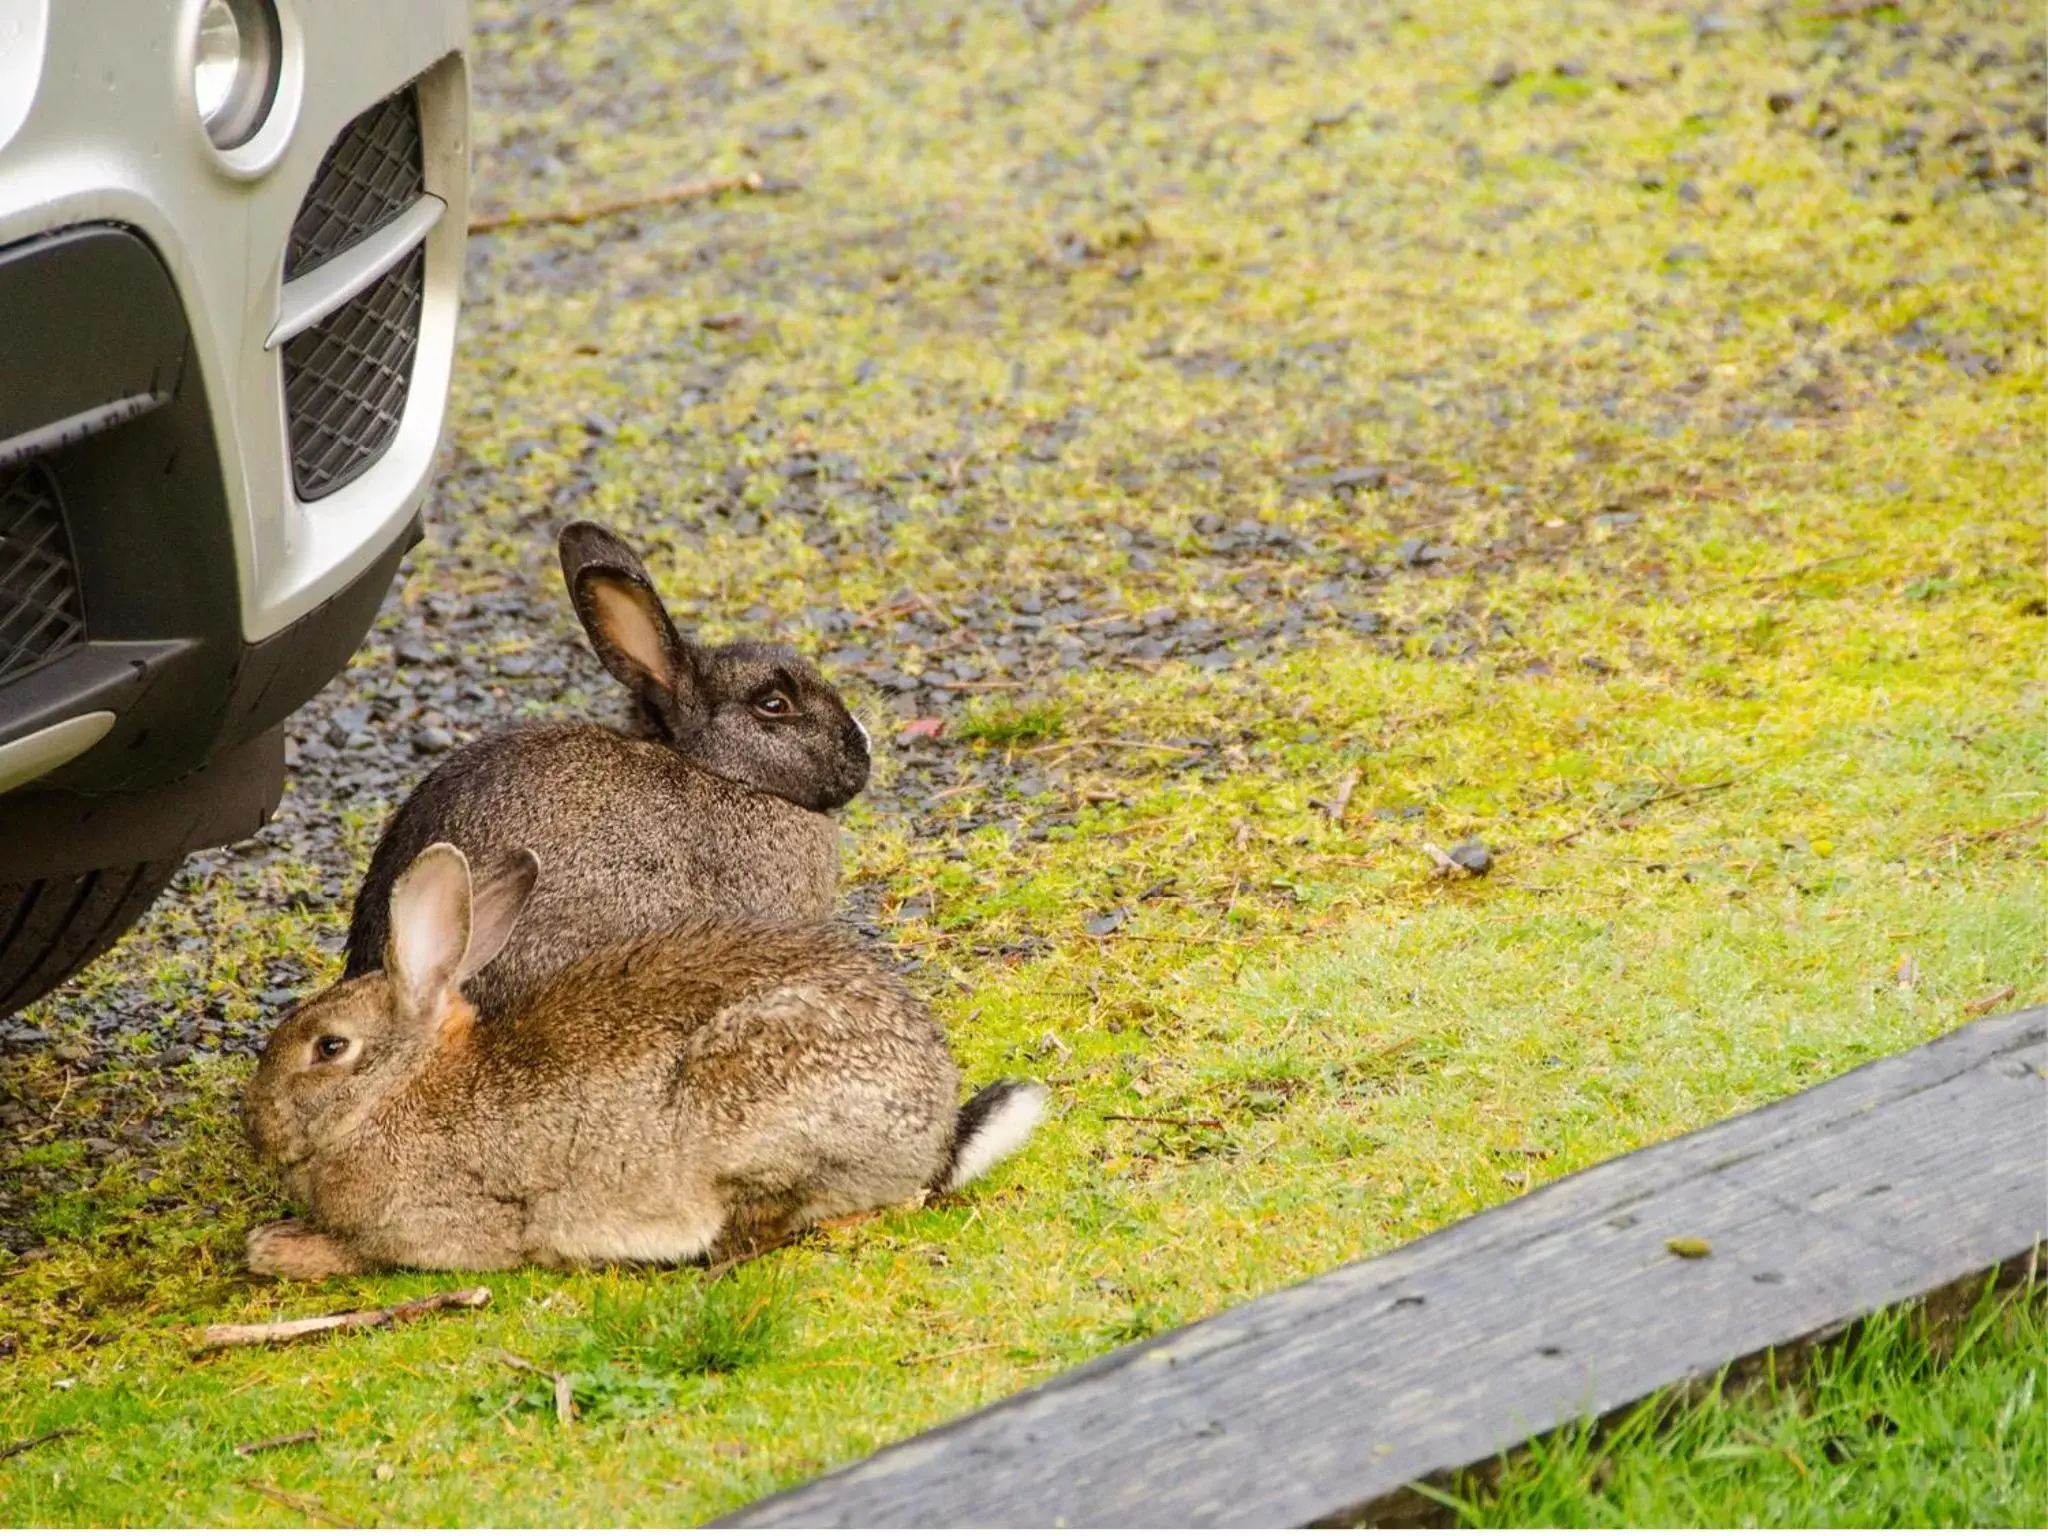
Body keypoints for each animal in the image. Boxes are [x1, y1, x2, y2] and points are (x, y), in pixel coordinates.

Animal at [243, 847, 1040, 1277]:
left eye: (330, 1047)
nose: (256, 1126)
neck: (399, 1089)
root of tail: (935, 1135)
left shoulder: (452, 1222)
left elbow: (371, 1253)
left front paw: (273, 1249)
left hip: (752, 1105)